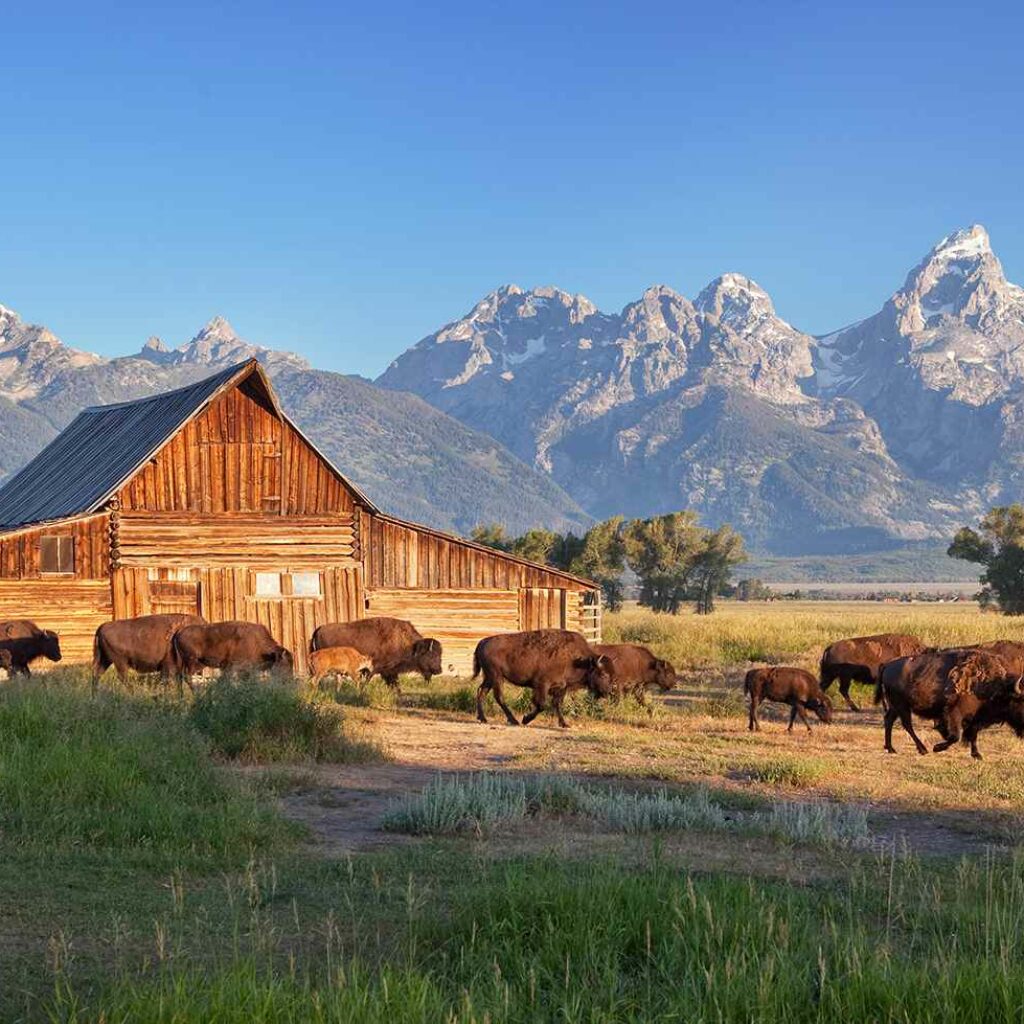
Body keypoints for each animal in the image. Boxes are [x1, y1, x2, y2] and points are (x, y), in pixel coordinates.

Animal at [473, 622, 610, 729]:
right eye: (603, 674)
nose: (609, 691)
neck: (577, 660)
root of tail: (483, 641)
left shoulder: (561, 688)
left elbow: (557, 704)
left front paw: (564, 724)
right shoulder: (542, 685)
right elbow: (541, 705)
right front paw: (525, 719)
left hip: (489, 678)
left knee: (481, 692)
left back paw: (482, 718)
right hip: (496, 676)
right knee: (499, 697)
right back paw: (513, 720)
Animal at [872, 647, 1024, 761]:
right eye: (1020, 702)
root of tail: (887, 665)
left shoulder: (975, 719)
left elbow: (972, 735)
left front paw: (977, 755)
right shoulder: (954, 713)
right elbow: (955, 736)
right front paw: (937, 747)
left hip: (895, 706)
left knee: (889, 720)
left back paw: (891, 748)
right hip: (902, 705)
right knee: (906, 724)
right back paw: (923, 749)